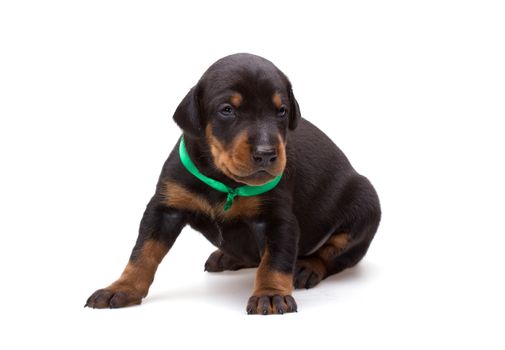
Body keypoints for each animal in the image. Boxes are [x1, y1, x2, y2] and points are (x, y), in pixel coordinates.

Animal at [84, 52, 380, 314]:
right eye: (227, 110)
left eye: (281, 111)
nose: (266, 153)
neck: (224, 181)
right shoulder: (165, 208)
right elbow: (143, 252)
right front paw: (121, 288)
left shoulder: (278, 219)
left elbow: (275, 261)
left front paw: (270, 294)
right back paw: (227, 256)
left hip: (366, 204)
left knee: (335, 254)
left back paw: (307, 267)